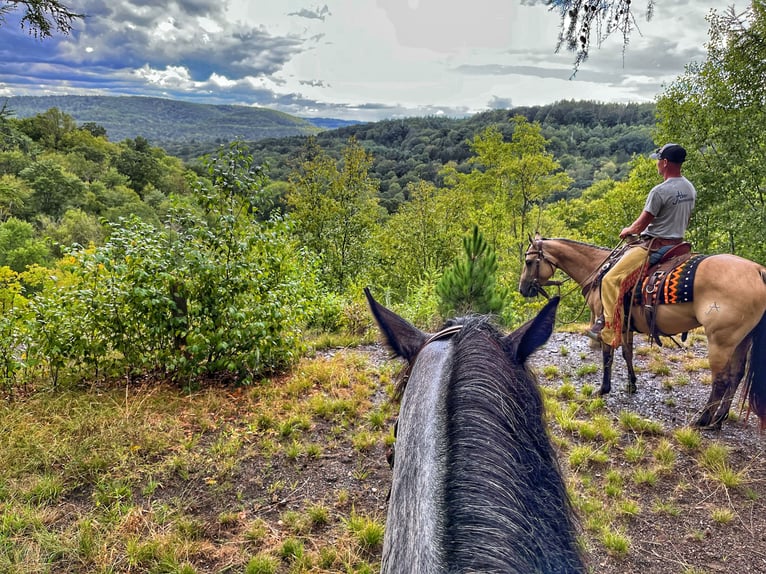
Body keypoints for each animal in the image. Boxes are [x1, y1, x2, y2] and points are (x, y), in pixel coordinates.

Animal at [518, 235, 766, 430]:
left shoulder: (608, 321)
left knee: (721, 380)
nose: (523, 289)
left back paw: (703, 420)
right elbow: (627, 353)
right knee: (736, 376)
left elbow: (607, 356)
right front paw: (632, 384)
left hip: (721, 341)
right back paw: (719, 420)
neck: (598, 269)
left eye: (529, 262)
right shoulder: (626, 324)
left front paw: (603, 389)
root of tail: (757, 270)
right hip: (742, 340)